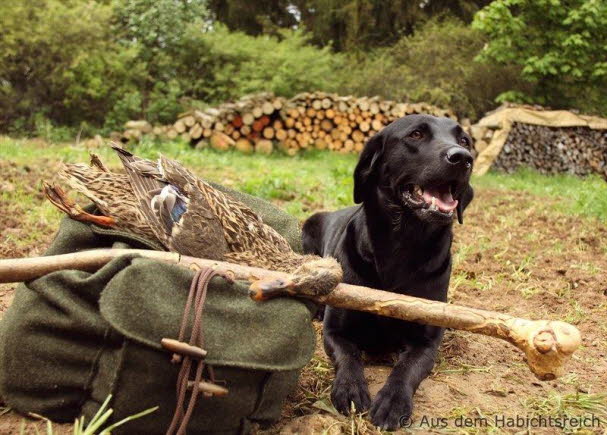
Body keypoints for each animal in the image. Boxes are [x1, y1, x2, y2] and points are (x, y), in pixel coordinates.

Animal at [302, 114, 476, 430]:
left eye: (464, 140)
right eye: (416, 134)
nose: (463, 158)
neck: (402, 245)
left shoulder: (427, 341)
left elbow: (406, 367)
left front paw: (393, 401)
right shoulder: (335, 332)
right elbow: (349, 355)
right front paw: (350, 389)